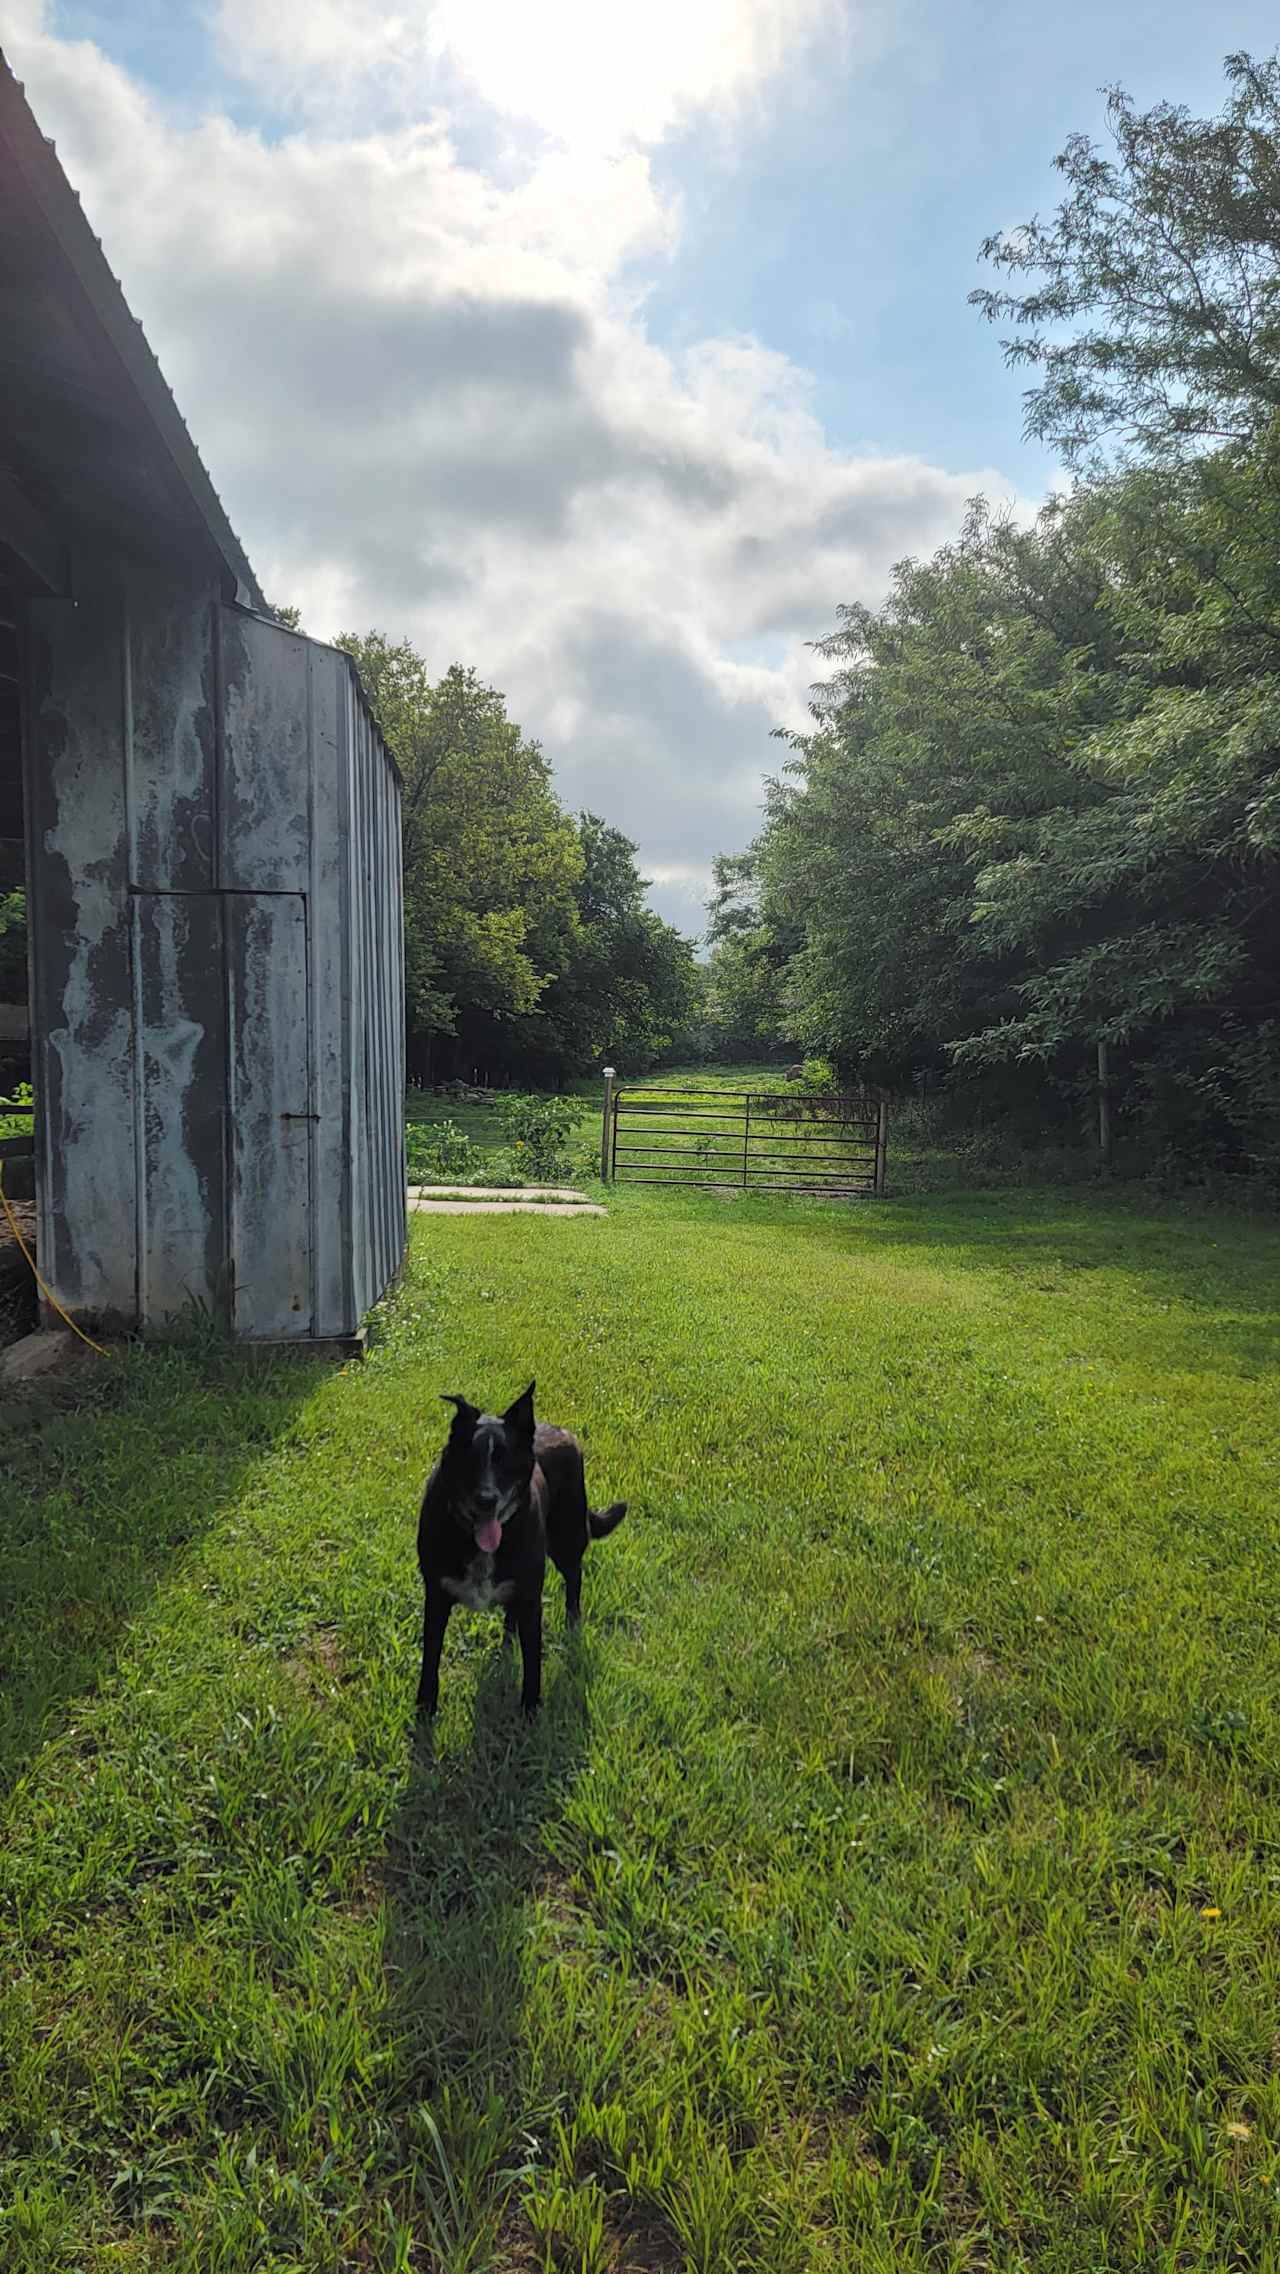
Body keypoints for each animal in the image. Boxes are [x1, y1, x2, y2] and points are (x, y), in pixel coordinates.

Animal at [416, 1382, 627, 1719]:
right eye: (470, 1460)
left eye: (506, 1461)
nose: (486, 1500)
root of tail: (561, 1431)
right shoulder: (436, 1595)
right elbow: (431, 1658)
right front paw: (424, 1708)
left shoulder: (530, 1599)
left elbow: (532, 1665)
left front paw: (530, 1711)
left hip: (567, 1539)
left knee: (574, 1580)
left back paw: (572, 1625)